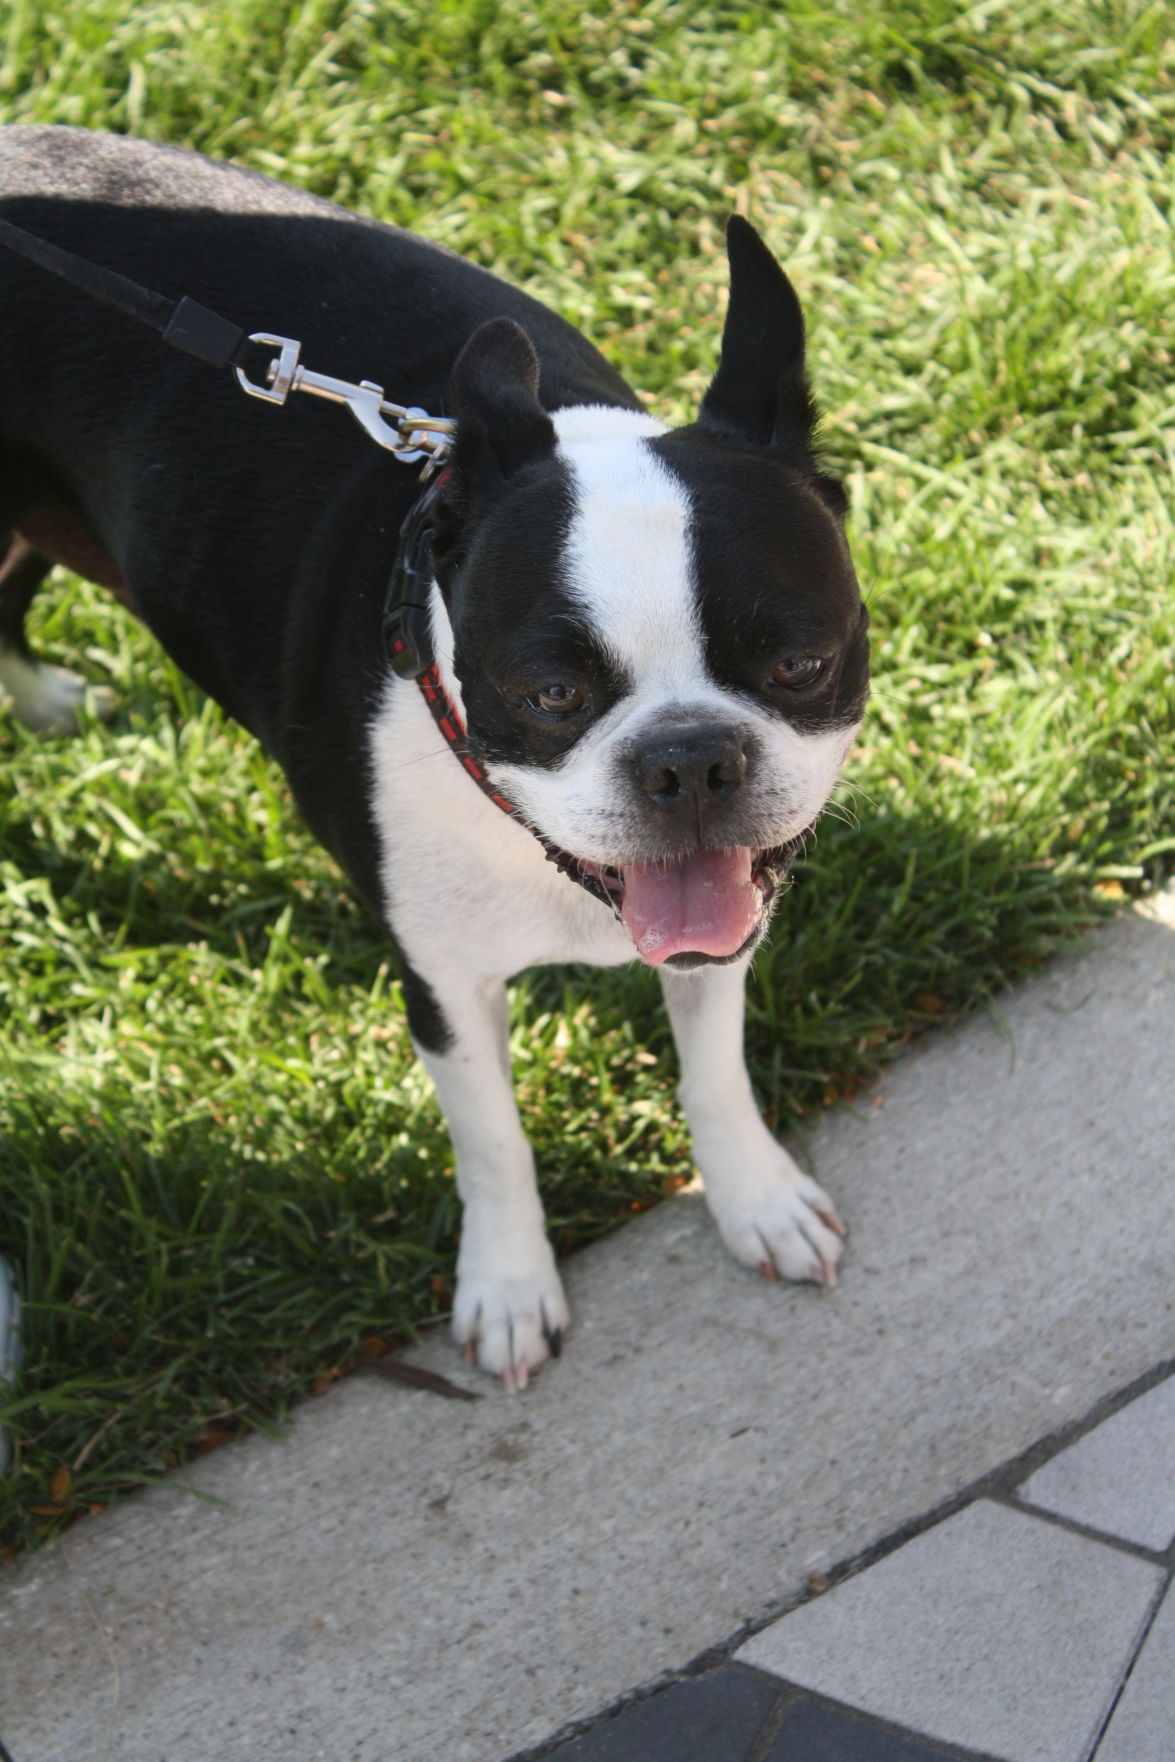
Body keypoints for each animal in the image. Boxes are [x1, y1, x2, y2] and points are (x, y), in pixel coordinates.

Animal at [0, 127, 863, 1388]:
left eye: (798, 665)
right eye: (550, 695)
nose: (689, 760)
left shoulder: (718, 932)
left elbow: (713, 1067)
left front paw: (754, 1198)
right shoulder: (444, 986)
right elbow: (493, 1143)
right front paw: (505, 1290)